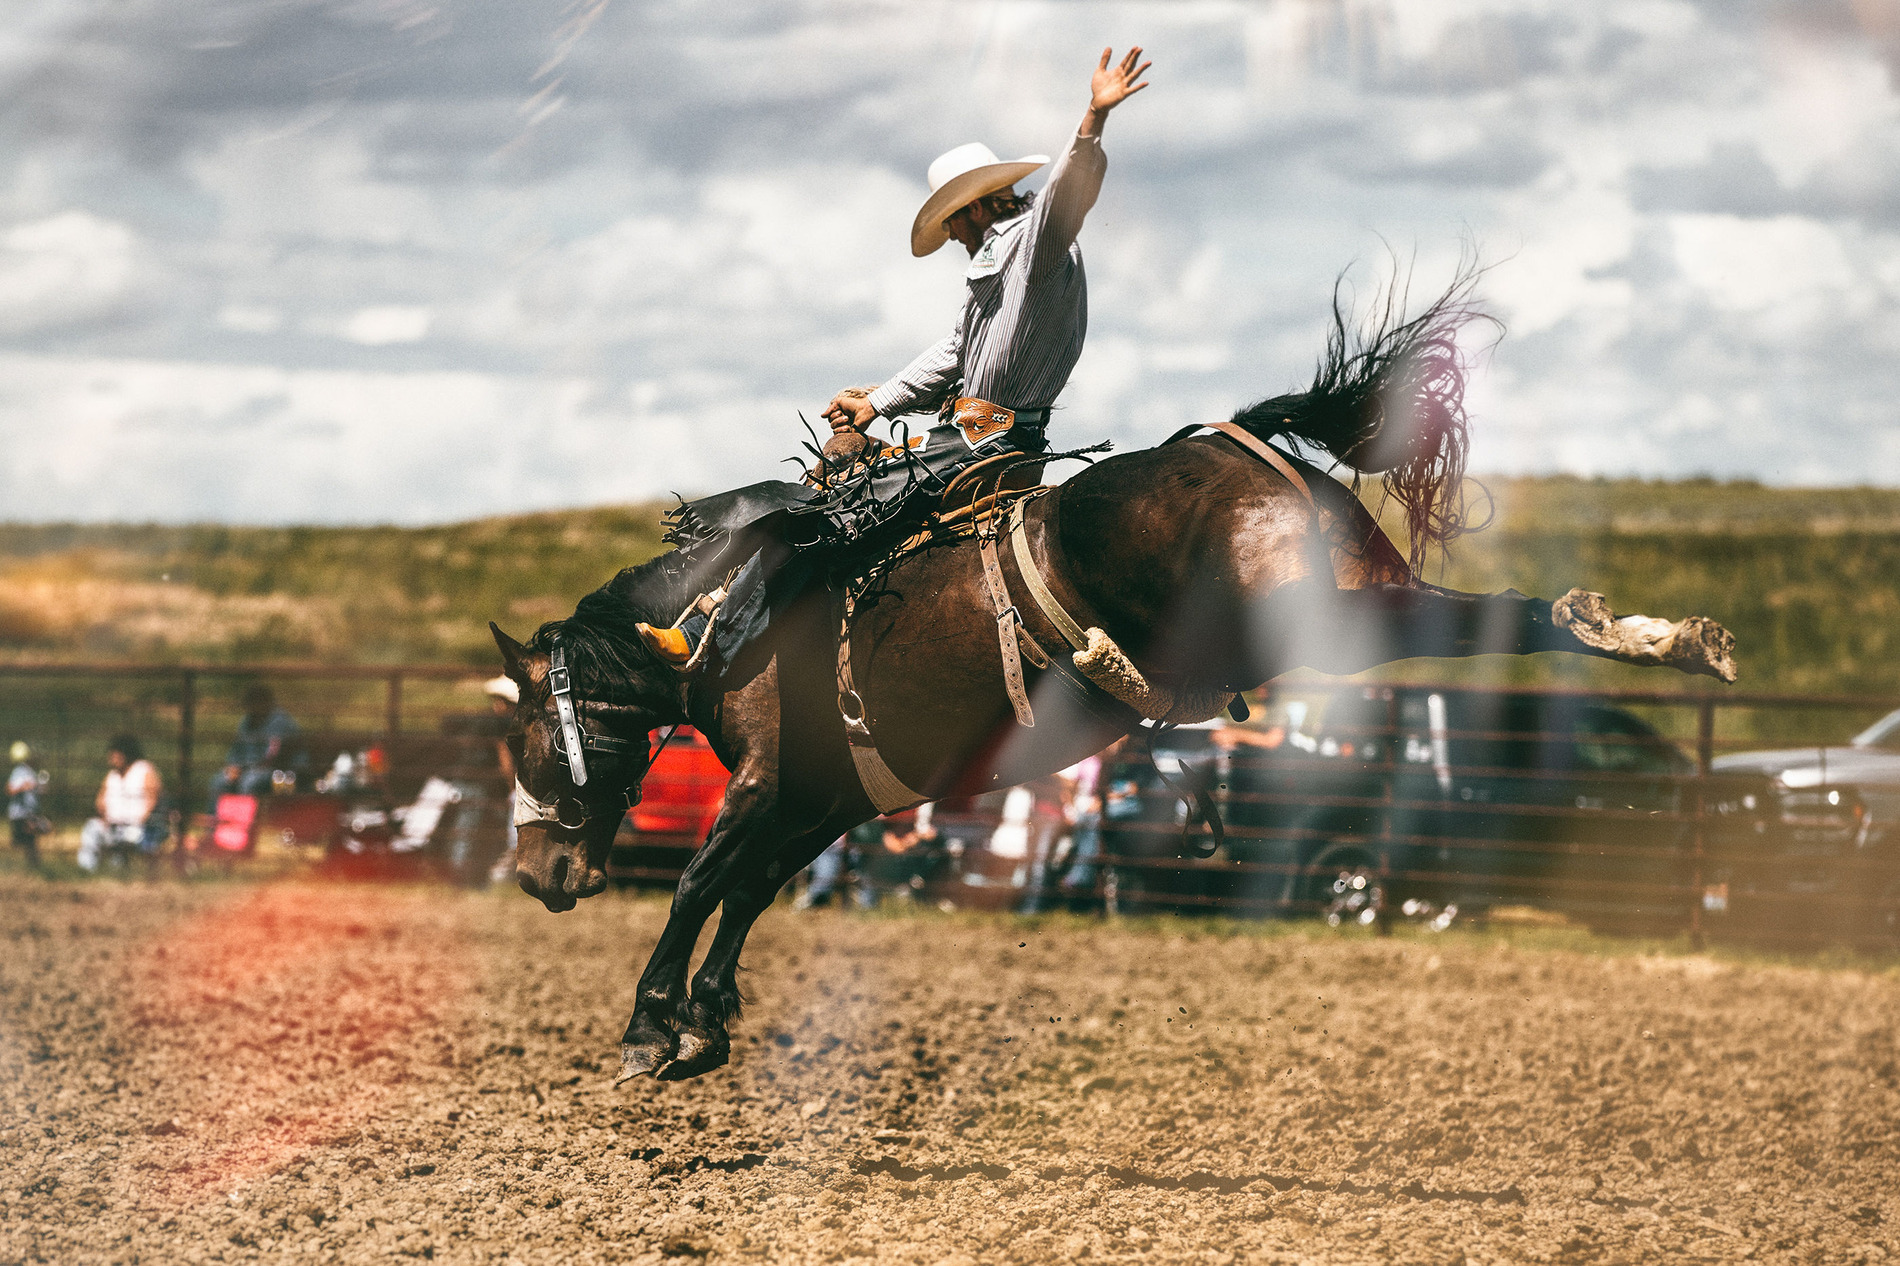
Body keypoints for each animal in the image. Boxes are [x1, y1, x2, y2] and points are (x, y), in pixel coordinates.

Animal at [486, 281, 1740, 1079]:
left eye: (527, 741)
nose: (537, 874)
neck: (720, 615)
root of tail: (1234, 440)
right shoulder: (825, 799)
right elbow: (750, 893)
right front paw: (703, 1025)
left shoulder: (766, 781)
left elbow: (705, 881)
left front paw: (650, 1030)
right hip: (1357, 596)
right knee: (1499, 616)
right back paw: (1658, 637)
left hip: (1315, 621)